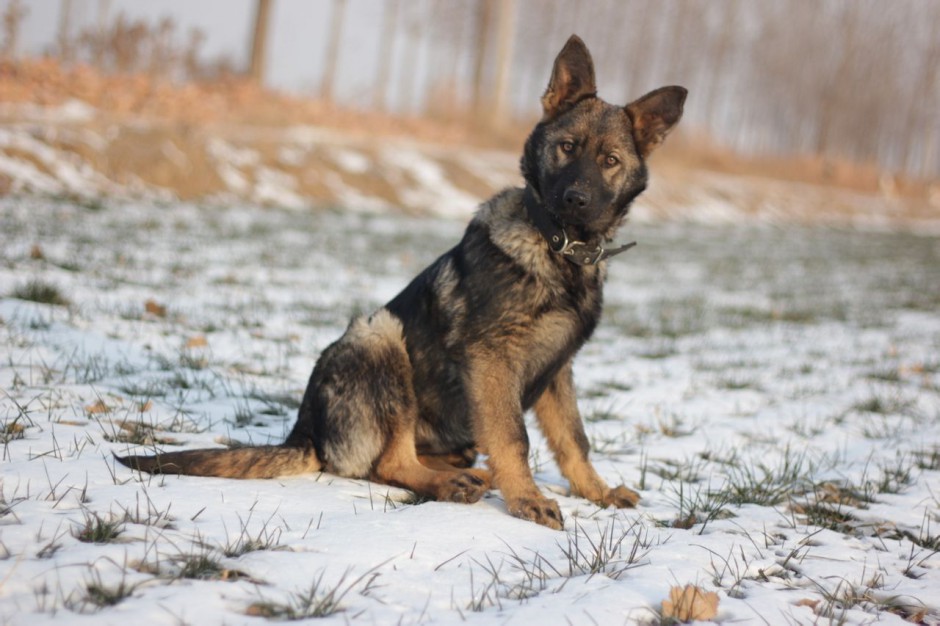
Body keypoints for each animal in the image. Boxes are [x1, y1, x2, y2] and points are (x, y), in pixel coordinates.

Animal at [121, 36, 688, 528]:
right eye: (567, 148)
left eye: (609, 161)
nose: (575, 200)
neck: (558, 249)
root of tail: (307, 433)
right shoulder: (493, 359)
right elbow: (515, 438)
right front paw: (528, 498)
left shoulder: (557, 371)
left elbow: (574, 440)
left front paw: (596, 491)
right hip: (381, 338)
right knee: (388, 463)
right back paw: (452, 484)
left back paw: (473, 476)